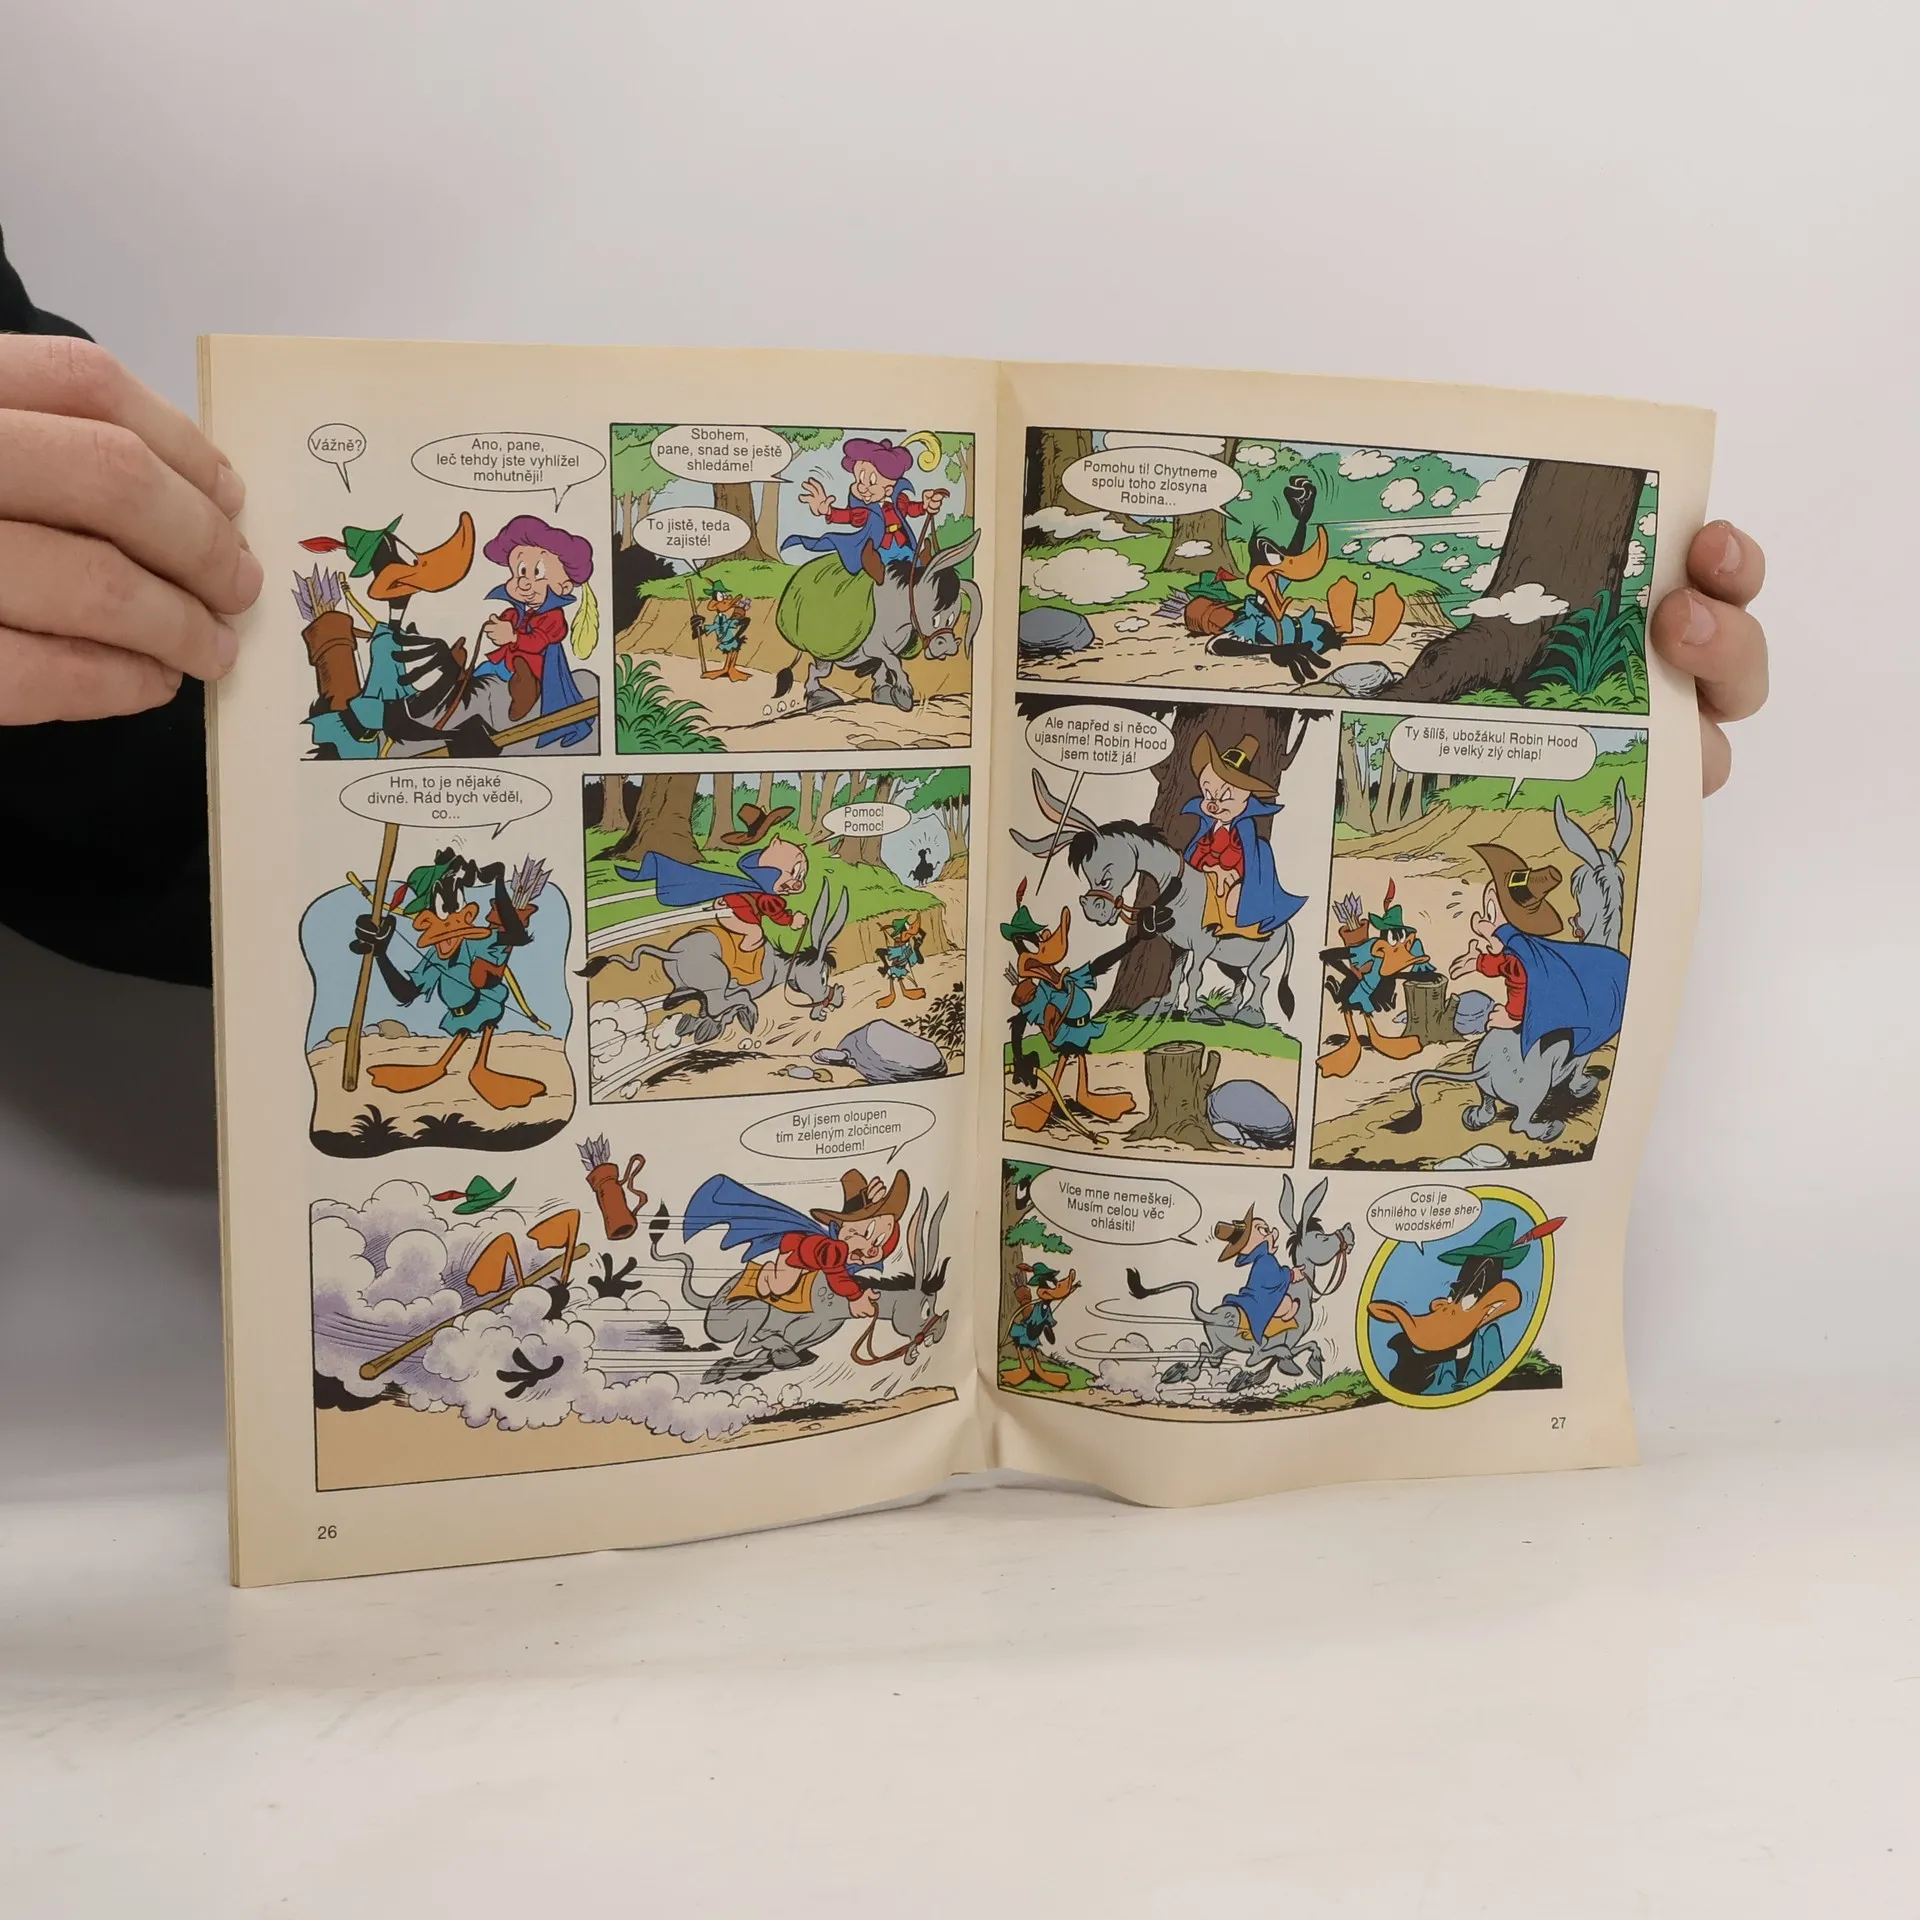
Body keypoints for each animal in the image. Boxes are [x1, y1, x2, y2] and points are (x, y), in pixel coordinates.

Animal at [1010, 771, 1296, 1026]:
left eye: (1107, 871)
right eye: (1086, 873)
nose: (1094, 910)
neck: (1181, 893)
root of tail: (1286, 926)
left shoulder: (1203, 945)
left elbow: (1194, 975)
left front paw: (1197, 1012)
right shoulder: (1178, 946)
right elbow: (1175, 975)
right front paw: (1163, 1007)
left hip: (1262, 953)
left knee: (1260, 979)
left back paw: (1250, 1014)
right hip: (1227, 958)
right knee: (1241, 978)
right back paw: (1230, 1008)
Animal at [1125, 1177, 1354, 1393]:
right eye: (1321, 1237)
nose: (1349, 1230)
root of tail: (1212, 1315)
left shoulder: (1292, 1340)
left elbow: (1308, 1346)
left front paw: (1312, 1365)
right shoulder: (1289, 1338)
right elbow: (1282, 1354)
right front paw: (1283, 1370)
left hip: (1221, 1346)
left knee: (1207, 1351)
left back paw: (1184, 1373)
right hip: (1243, 1345)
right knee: (1246, 1356)